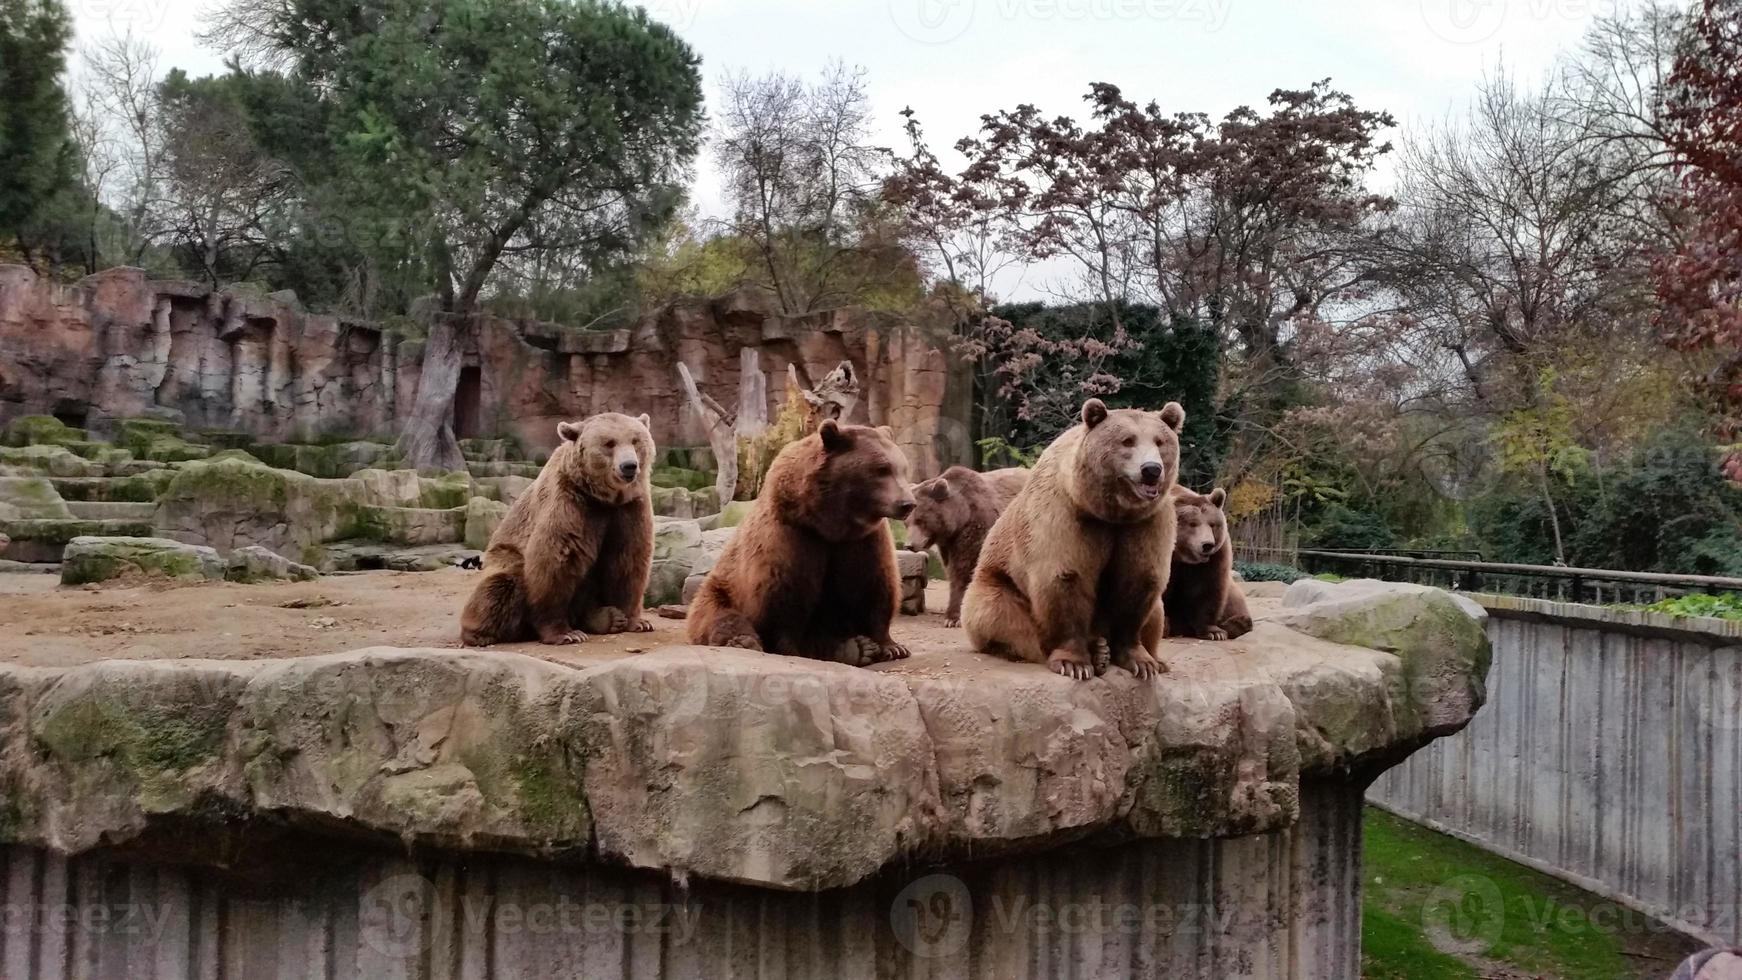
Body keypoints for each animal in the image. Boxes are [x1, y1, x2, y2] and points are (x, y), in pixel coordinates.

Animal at [459, 412, 654, 647]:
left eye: (635, 440)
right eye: (609, 443)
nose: (629, 466)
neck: (603, 498)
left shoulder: (628, 509)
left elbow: (628, 560)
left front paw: (637, 621)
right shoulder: (569, 502)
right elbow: (556, 562)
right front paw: (566, 633)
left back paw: (605, 618)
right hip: (506, 558)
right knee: (501, 586)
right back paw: (479, 634)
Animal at [686, 421, 919, 668]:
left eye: (903, 468)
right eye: (881, 469)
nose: (907, 503)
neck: (830, 523)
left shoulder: (863, 541)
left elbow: (874, 587)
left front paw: (892, 647)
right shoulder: (792, 536)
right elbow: (783, 599)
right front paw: (788, 648)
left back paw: (855, 648)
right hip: (718, 590)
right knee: (721, 616)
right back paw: (743, 641)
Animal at [905, 466, 1017, 630]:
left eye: (920, 520)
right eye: (906, 522)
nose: (909, 545)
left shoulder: (977, 530)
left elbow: (965, 569)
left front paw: (955, 618)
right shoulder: (948, 546)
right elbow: (954, 574)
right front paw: (951, 617)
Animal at [961, 398, 1191, 682]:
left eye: (1160, 441)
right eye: (1127, 441)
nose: (1151, 470)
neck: (1110, 512)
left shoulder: (1146, 523)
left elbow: (1140, 581)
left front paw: (1141, 662)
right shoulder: (1065, 514)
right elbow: (1065, 578)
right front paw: (1075, 663)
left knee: (1157, 613)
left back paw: (1149, 658)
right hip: (996, 584)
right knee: (1003, 618)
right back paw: (1095, 651)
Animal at [1156, 487, 1254, 644]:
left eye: (1212, 524)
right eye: (1192, 523)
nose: (1207, 544)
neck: (1181, 556)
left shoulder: (1214, 558)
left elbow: (1207, 589)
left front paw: (1214, 633)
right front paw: (1162, 626)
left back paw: (1238, 623)